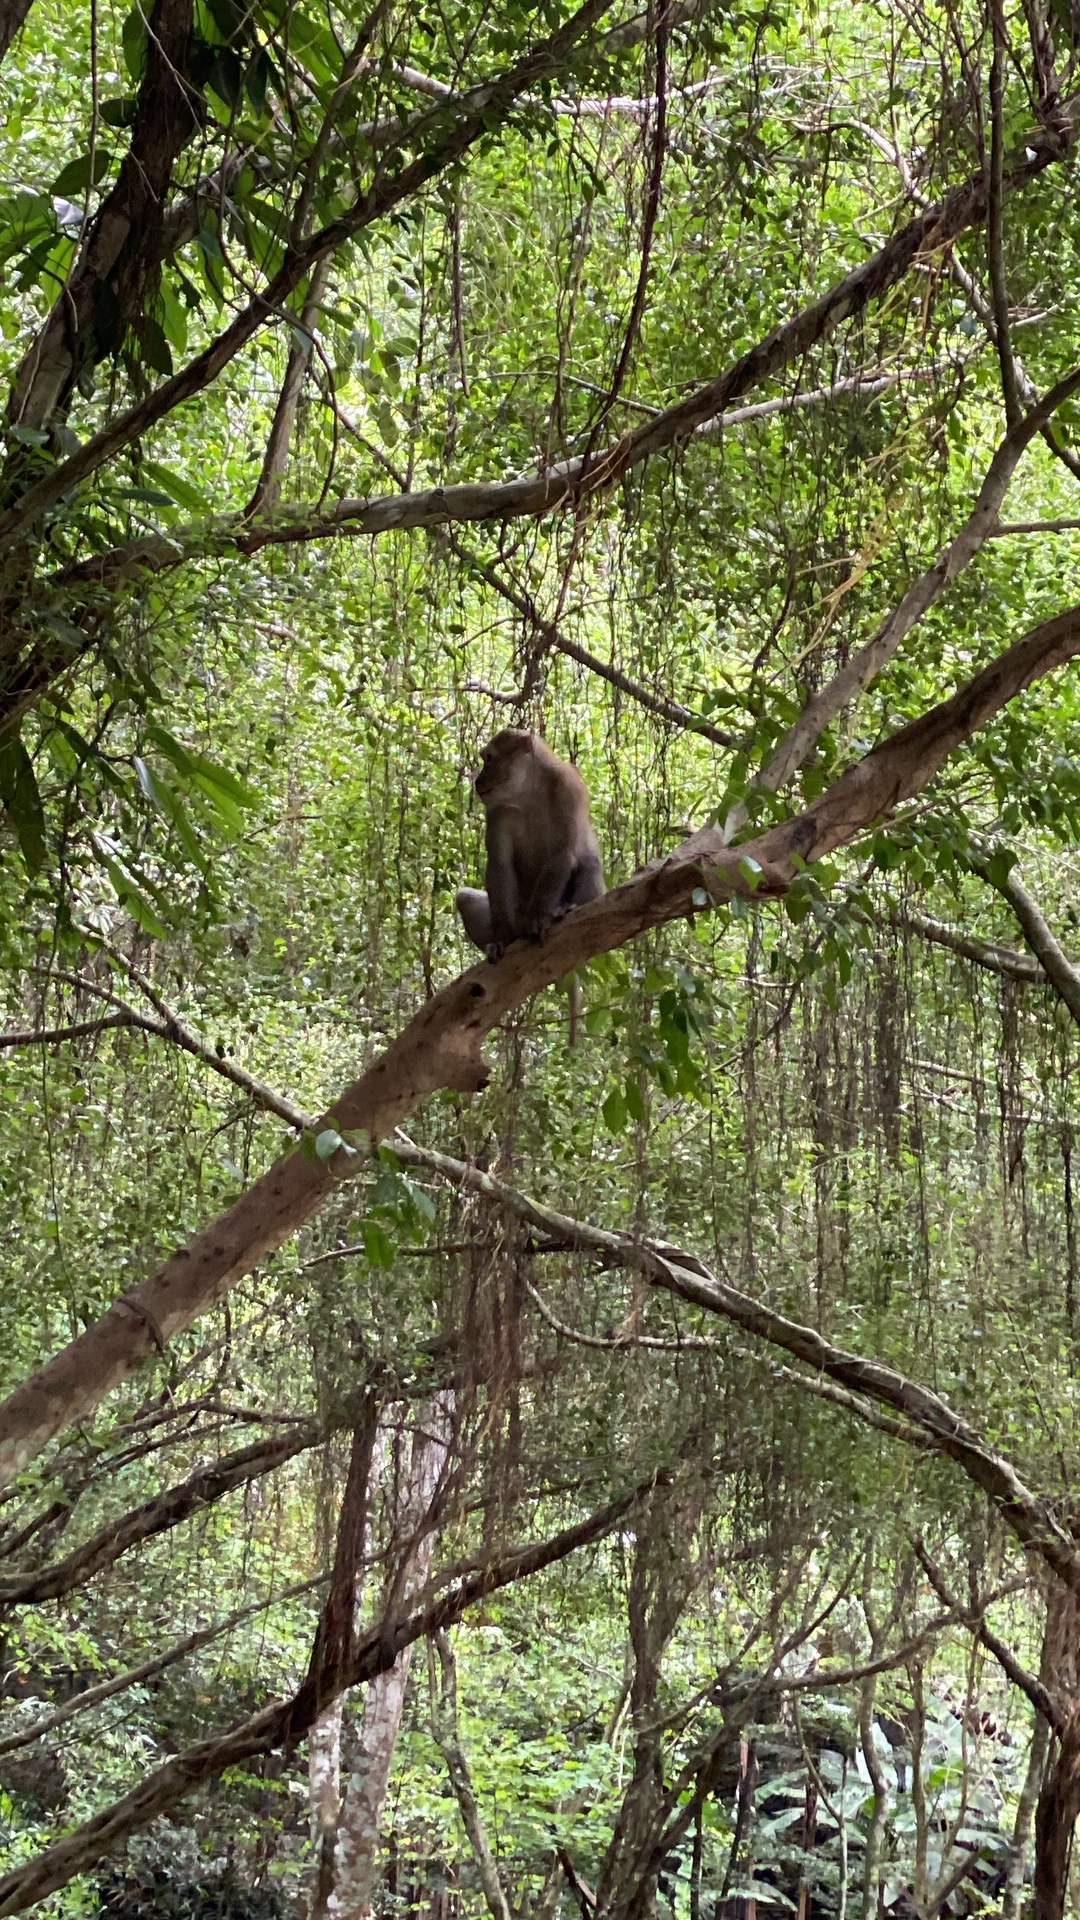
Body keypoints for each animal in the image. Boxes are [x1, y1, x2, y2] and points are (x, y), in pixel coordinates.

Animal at [456, 729, 605, 963]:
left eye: (489, 758)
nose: (479, 779)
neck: (528, 791)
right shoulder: (497, 809)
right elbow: (500, 864)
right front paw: (502, 938)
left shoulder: (569, 788)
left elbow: (563, 852)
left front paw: (538, 918)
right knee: (464, 898)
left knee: (589, 862)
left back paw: (564, 910)